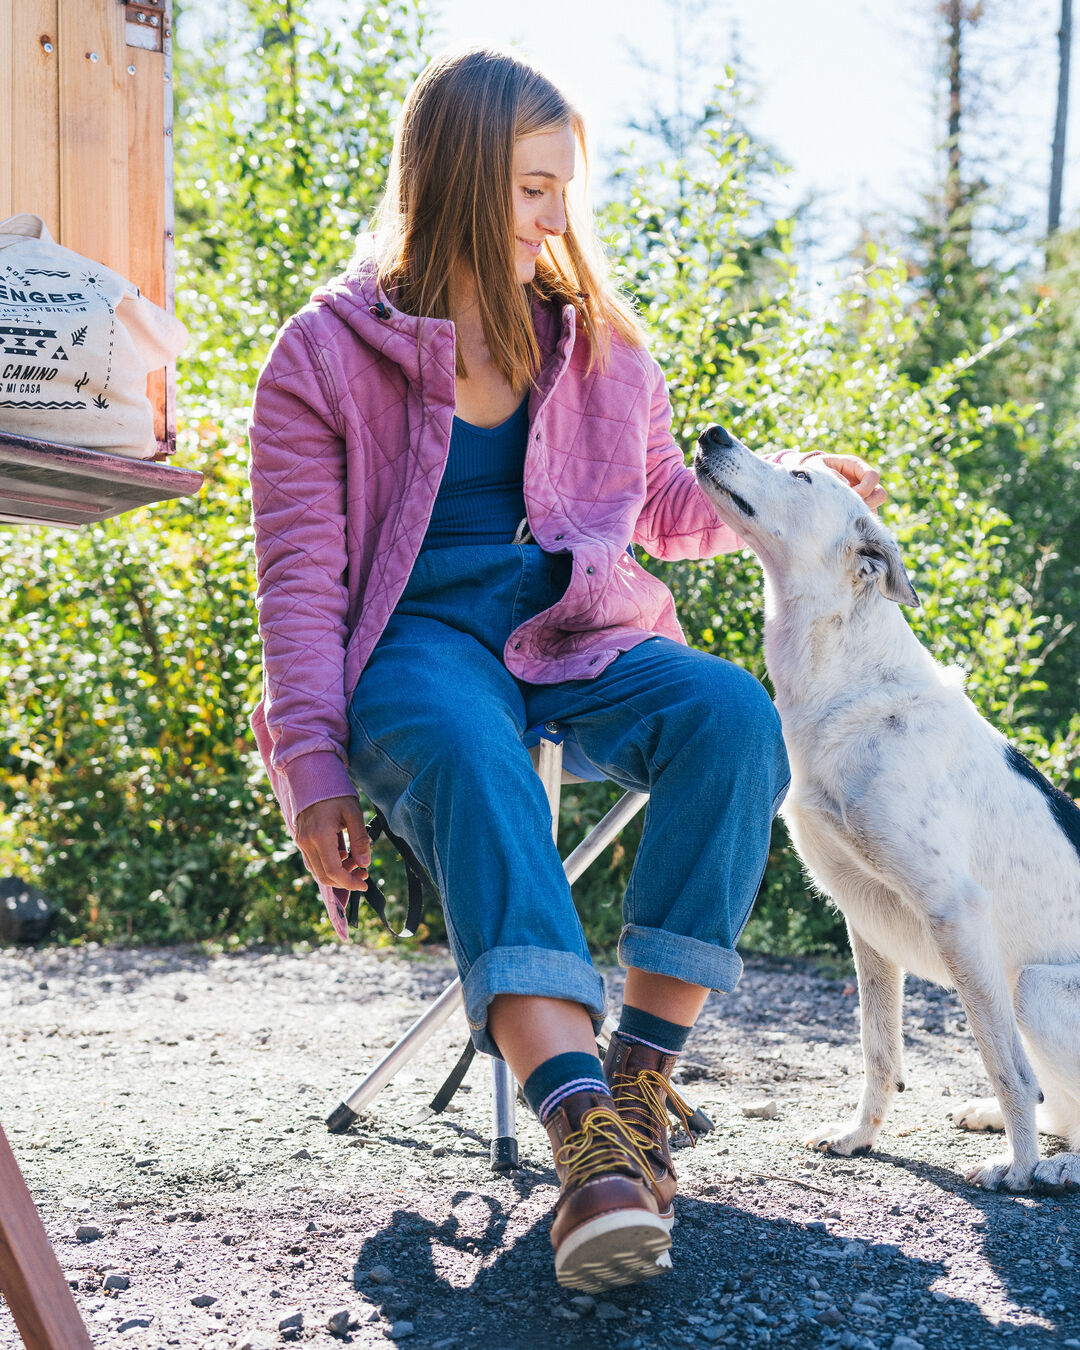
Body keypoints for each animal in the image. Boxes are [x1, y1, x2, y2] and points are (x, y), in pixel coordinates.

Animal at [691, 423, 1080, 1193]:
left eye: (803, 478)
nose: (713, 432)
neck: (845, 680)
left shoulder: (956, 911)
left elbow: (1005, 1067)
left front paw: (1019, 1169)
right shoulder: (864, 916)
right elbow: (879, 1051)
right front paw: (859, 1137)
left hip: (1037, 989)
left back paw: (1053, 1166)